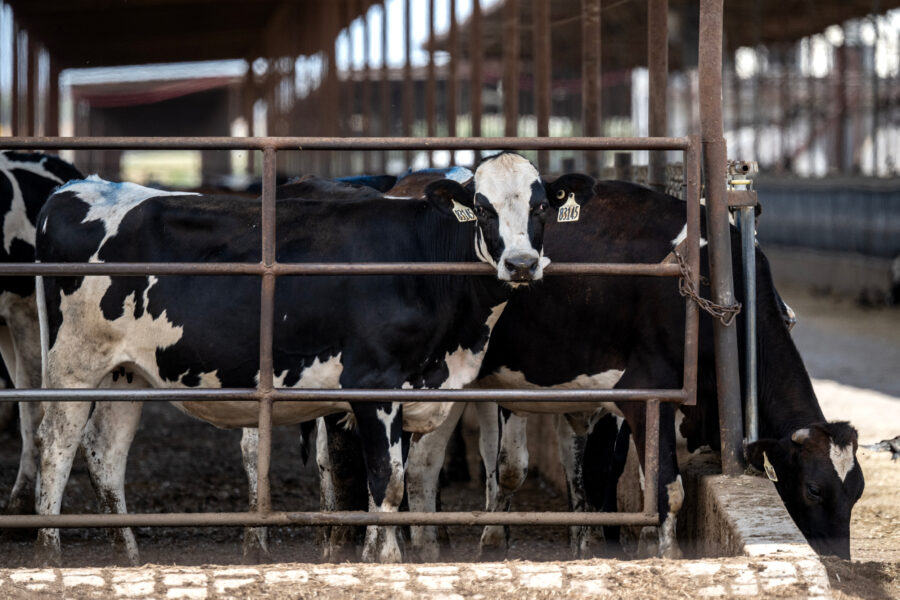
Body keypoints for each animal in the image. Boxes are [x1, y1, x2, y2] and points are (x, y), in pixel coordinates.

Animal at [32, 151, 564, 566]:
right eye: (482, 209)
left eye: (540, 207)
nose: (520, 264)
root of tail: (78, 187)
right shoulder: (373, 385)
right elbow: (387, 481)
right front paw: (386, 560)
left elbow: (389, 482)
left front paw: (373, 553)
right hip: (72, 366)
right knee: (55, 448)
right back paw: (49, 556)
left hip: (127, 373)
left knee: (104, 455)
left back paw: (128, 557)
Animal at [407, 175, 865, 561]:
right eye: (813, 489)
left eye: (856, 492)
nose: (840, 561)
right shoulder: (644, 389)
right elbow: (666, 487)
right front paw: (665, 553)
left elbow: (644, 480)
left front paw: (640, 544)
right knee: (422, 465)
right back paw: (430, 546)